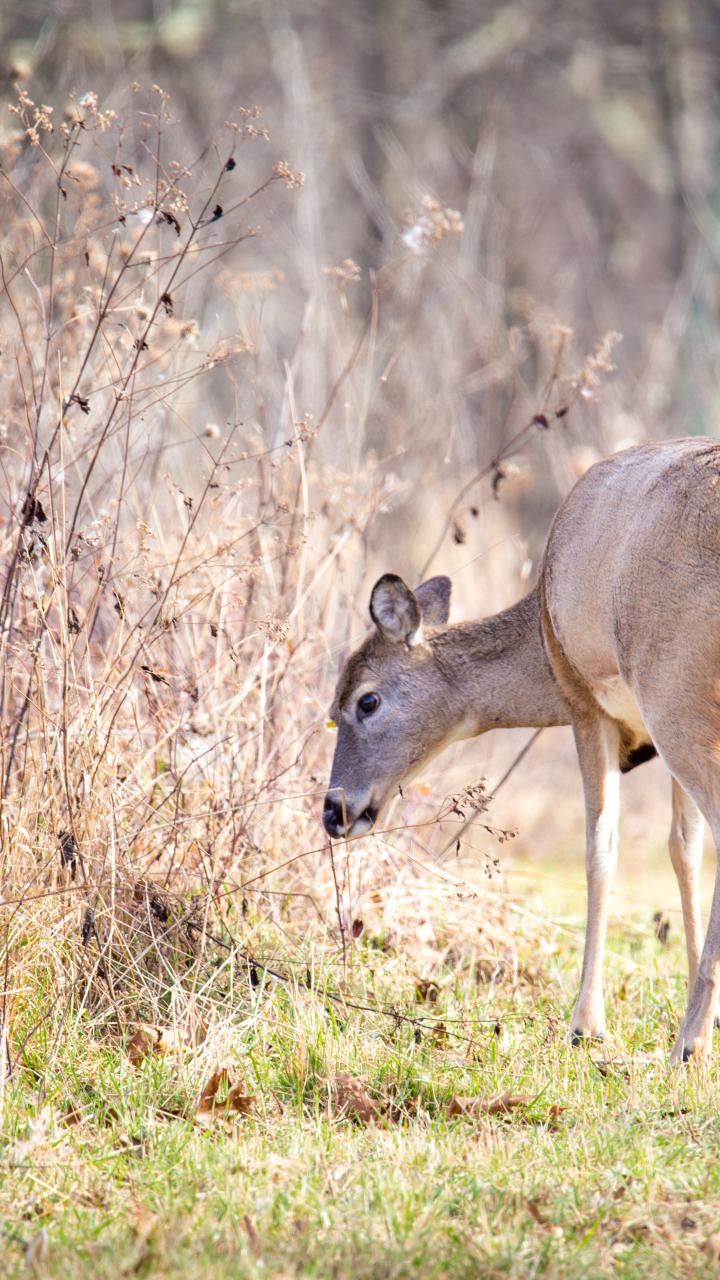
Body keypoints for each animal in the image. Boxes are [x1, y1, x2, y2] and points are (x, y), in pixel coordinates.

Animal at [322, 436, 720, 1064]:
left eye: (366, 701)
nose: (335, 810)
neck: (541, 633)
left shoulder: (589, 704)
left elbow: (600, 847)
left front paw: (586, 1025)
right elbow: (684, 851)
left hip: (676, 692)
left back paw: (688, 1042)